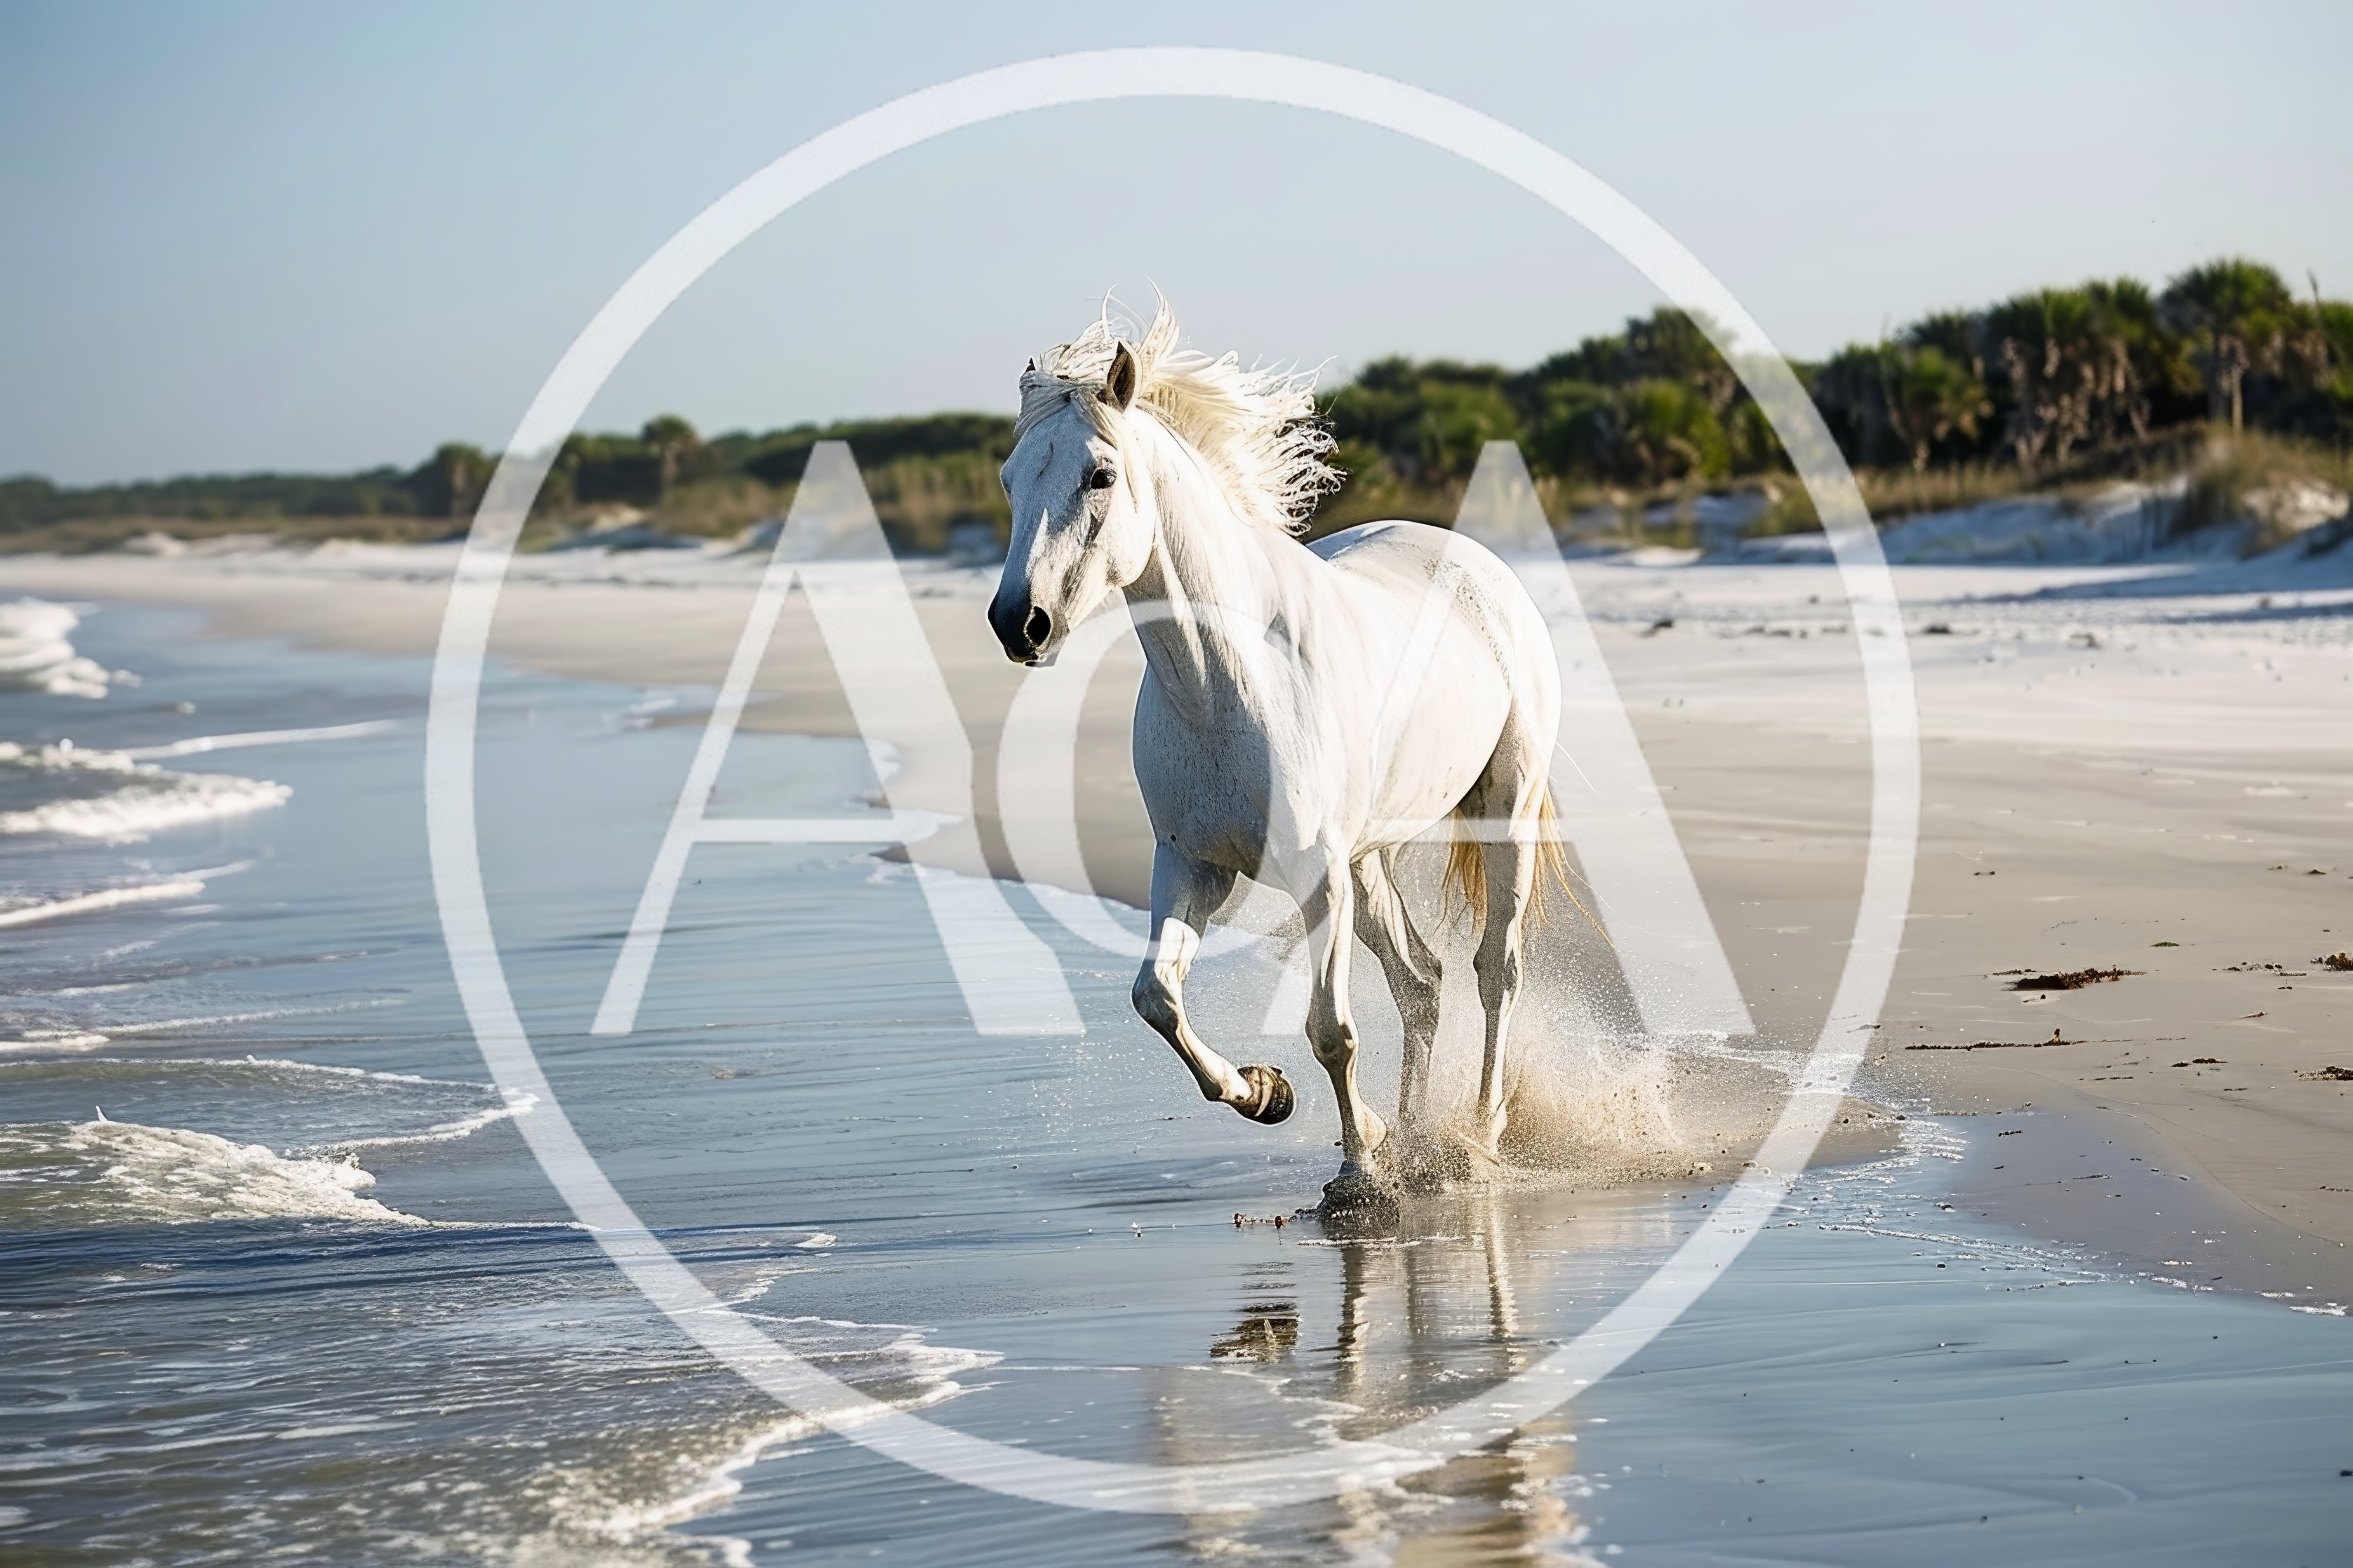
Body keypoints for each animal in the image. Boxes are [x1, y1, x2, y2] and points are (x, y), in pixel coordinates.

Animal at [987, 302, 1565, 1207]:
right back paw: (1416, 1139)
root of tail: (1479, 565)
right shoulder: (1192, 866)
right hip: (1368, 860)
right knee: (1422, 982)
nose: (1020, 622)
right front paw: (1268, 1094)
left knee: (1493, 969)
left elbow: (1331, 1029)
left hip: (1503, 813)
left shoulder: (1316, 877)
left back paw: (1476, 1135)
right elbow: (1156, 997)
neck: (1224, 682)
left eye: (1099, 477)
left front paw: (1358, 1174)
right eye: (1012, 480)